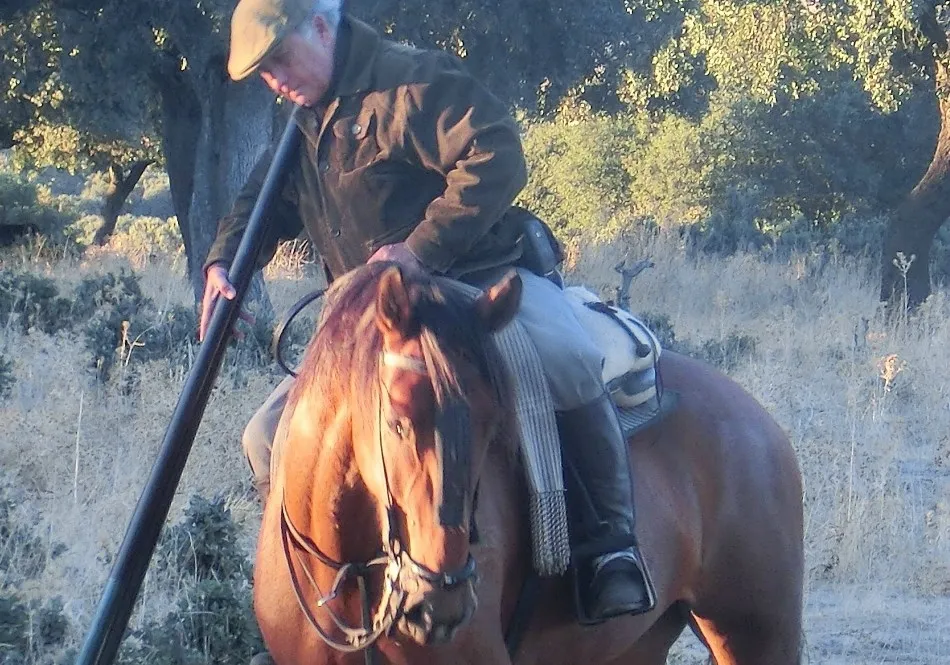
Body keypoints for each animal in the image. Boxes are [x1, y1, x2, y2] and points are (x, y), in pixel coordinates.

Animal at [253, 262, 805, 665]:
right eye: (397, 421)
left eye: (493, 422)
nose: (440, 603)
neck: (347, 573)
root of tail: (761, 424)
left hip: (755, 633)